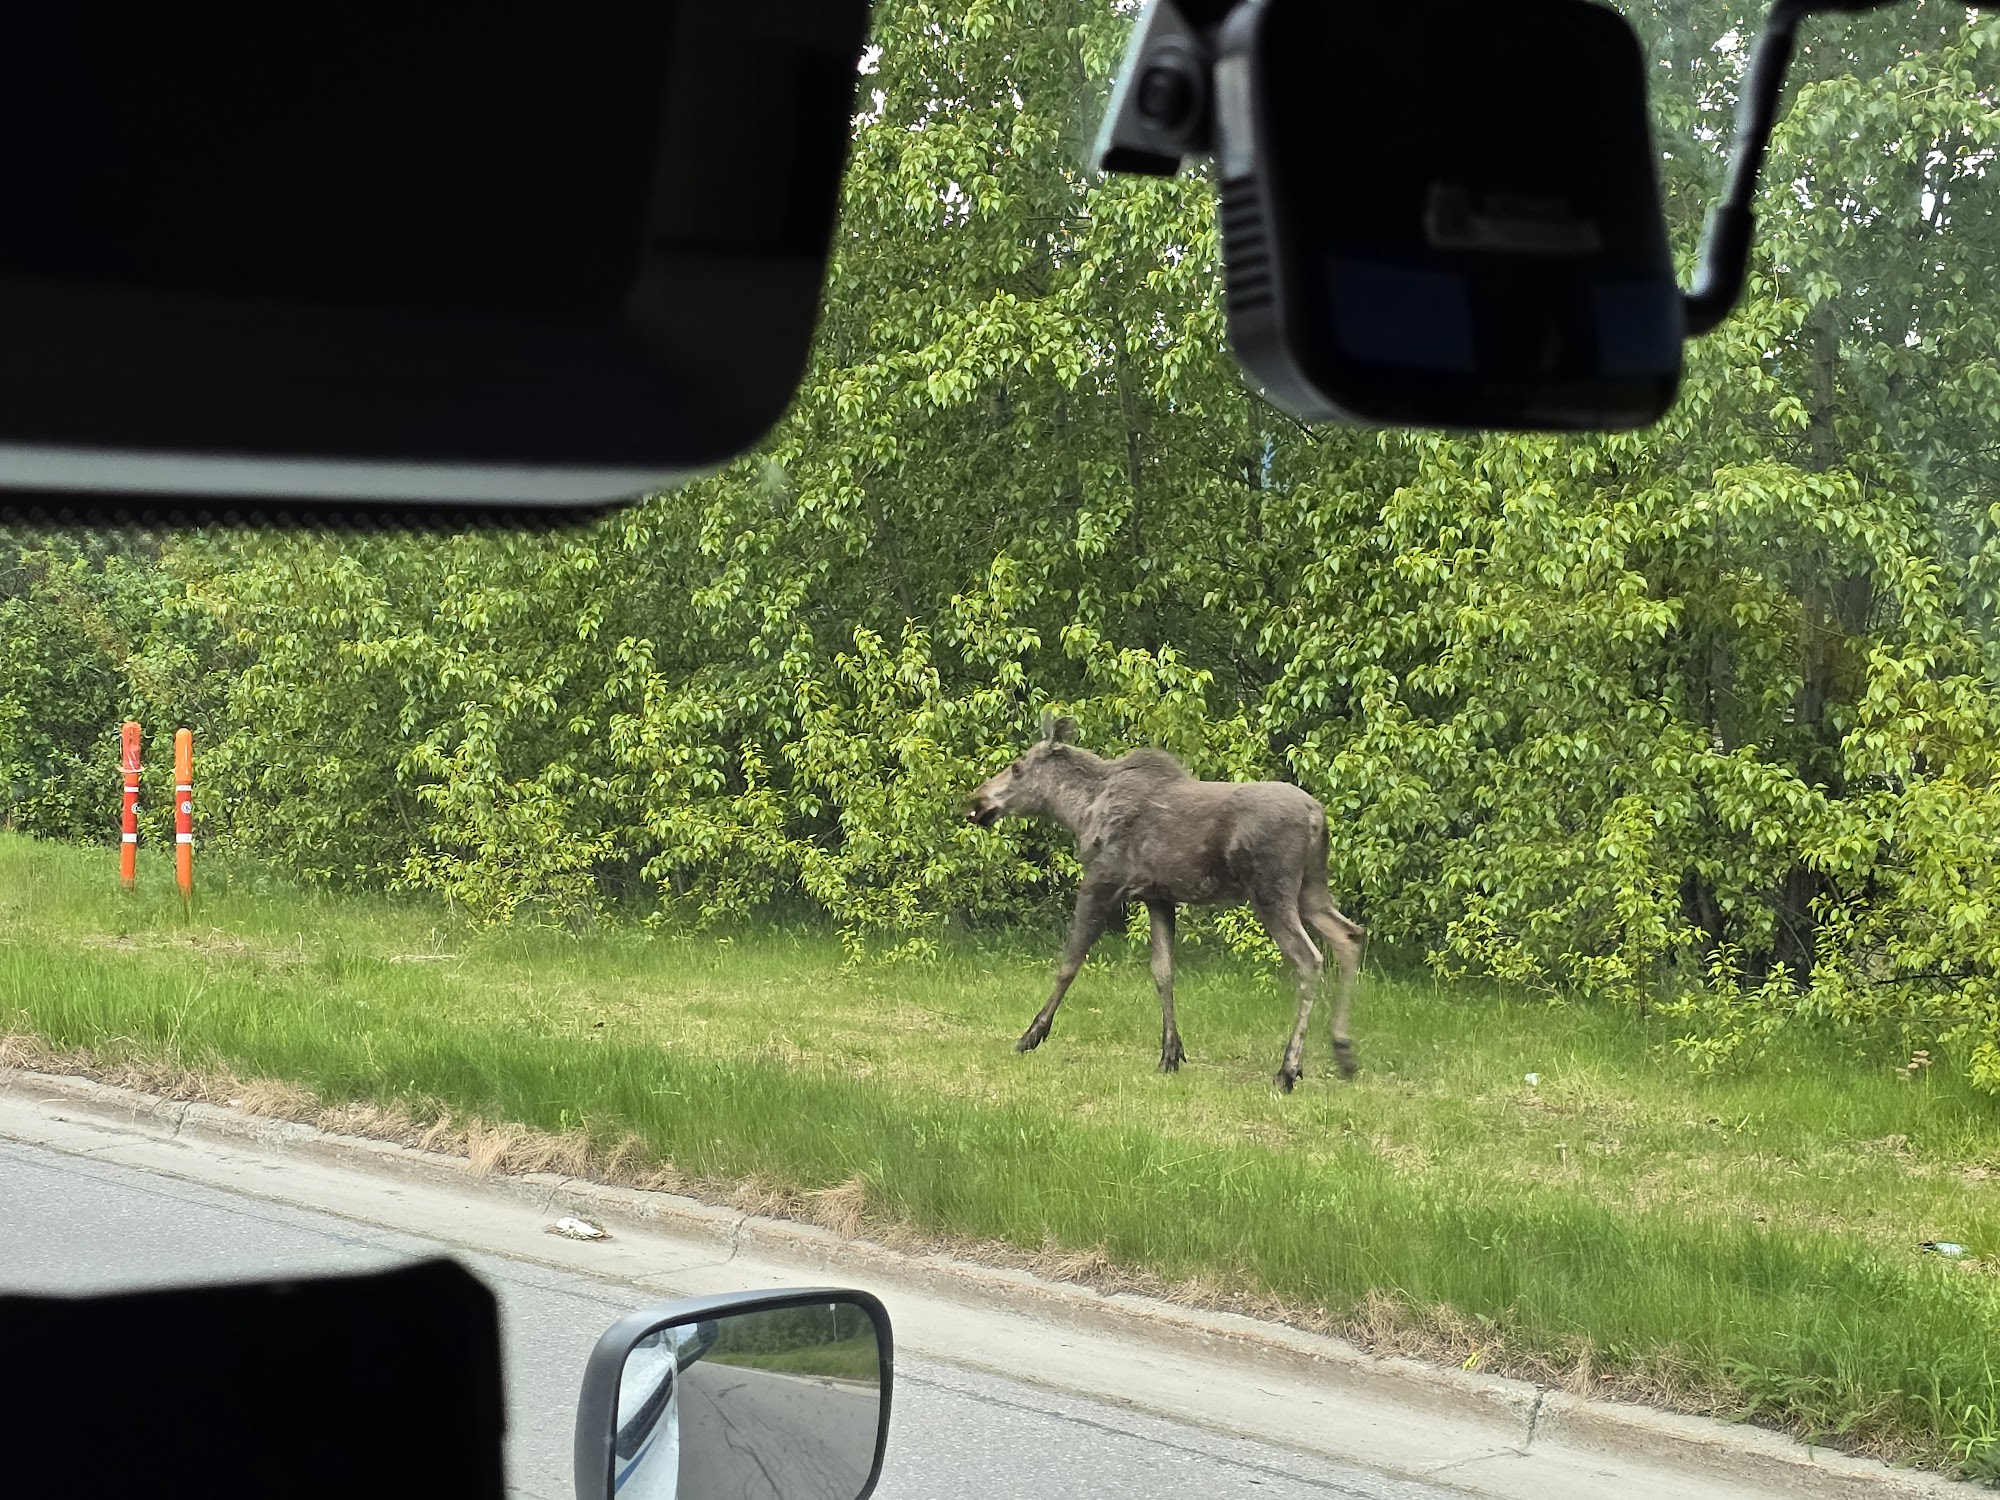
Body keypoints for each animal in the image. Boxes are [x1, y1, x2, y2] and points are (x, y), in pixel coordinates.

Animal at [965, 712, 1365, 1090]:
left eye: (1017, 767)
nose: (976, 801)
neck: (1078, 810)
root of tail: (1318, 817)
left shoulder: (1101, 881)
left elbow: (1070, 962)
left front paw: (1031, 1035)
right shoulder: (1158, 898)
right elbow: (1163, 972)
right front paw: (1170, 1053)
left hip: (1273, 892)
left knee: (1310, 959)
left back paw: (1289, 1069)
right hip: (1311, 891)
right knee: (1349, 936)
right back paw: (1344, 1054)